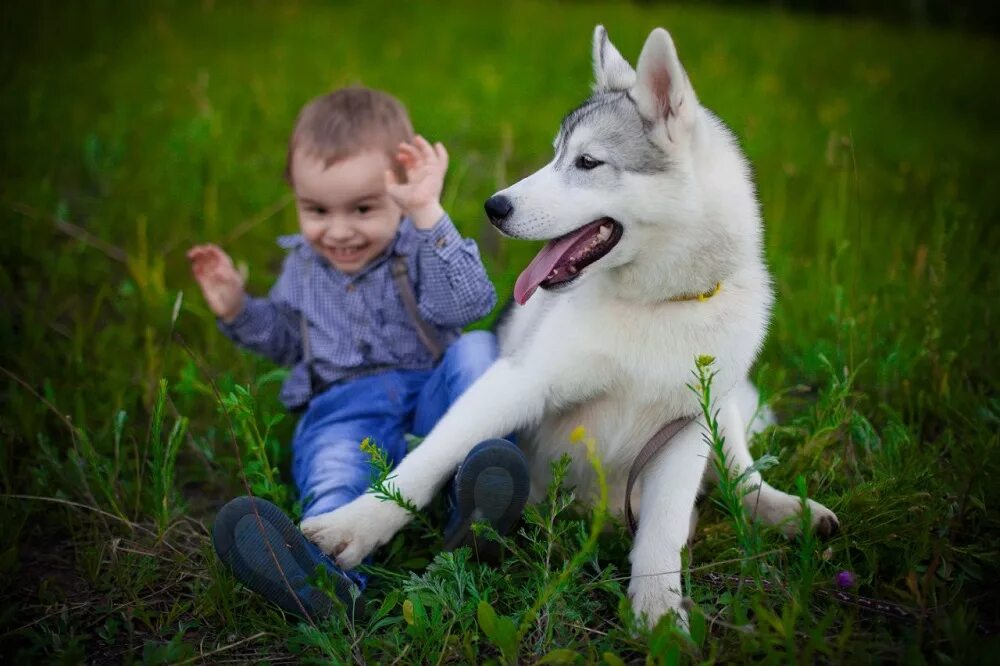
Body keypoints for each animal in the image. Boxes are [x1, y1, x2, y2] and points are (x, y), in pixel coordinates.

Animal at [300, 22, 840, 624]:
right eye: (557, 155)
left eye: (587, 163)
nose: (494, 207)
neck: (657, 305)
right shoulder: (518, 381)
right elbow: (428, 458)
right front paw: (355, 525)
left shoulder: (685, 430)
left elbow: (665, 529)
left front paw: (659, 613)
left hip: (720, 407)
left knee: (741, 473)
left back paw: (783, 509)